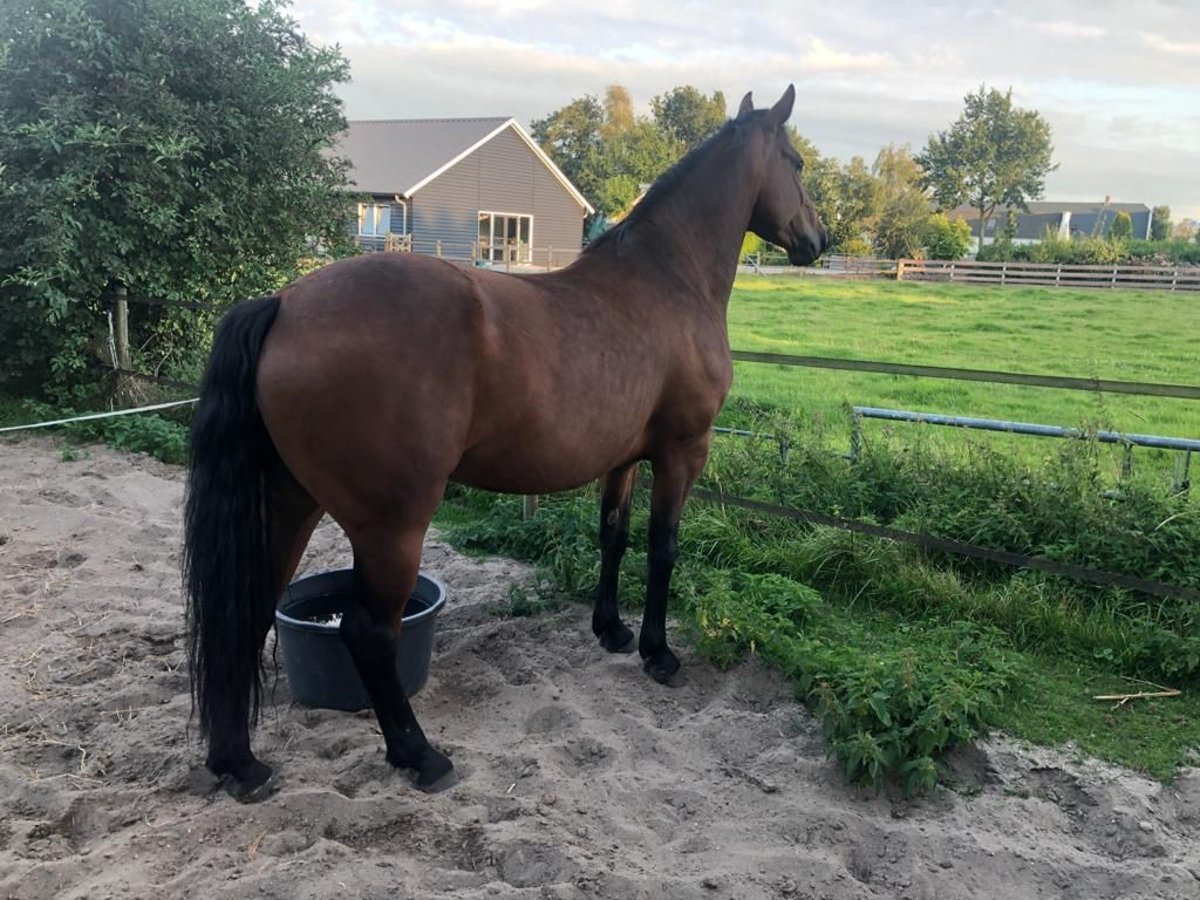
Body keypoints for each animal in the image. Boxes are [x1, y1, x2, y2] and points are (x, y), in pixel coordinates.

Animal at [184, 86, 825, 801]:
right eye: (797, 162)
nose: (817, 239)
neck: (667, 280)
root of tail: (285, 304)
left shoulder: (624, 459)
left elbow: (614, 535)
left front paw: (612, 630)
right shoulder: (683, 451)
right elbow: (664, 549)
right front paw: (658, 653)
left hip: (290, 501)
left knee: (248, 608)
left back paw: (240, 763)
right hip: (391, 525)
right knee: (368, 632)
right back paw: (420, 756)